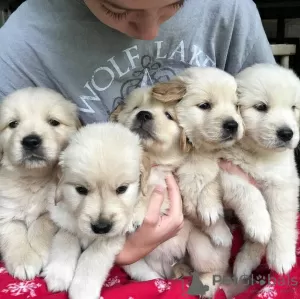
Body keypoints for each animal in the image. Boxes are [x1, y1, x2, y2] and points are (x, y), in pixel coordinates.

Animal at [0, 87, 80, 282]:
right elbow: (13, 233)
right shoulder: (4, 213)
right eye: (13, 124)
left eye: (53, 122)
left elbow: (41, 223)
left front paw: (39, 251)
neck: (32, 178)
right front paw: (24, 261)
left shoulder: (55, 209)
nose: (31, 141)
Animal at [43, 122, 151, 299]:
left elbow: (93, 256)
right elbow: (65, 240)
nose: (101, 227)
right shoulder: (64, 221)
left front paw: (83, 290)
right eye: (81, 189)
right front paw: (58, 273)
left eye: (122, 189)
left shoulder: (114, 236)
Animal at [110, 85, 230, 298]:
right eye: (136, 107)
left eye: (168, 115)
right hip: (134, 261)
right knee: (146, 274)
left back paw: (205, 286)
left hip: (199, 245)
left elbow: (149, 191)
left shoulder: (167, 182)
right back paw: (162, 282)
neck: (150, 159)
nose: (143, 114)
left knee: (215, 270)